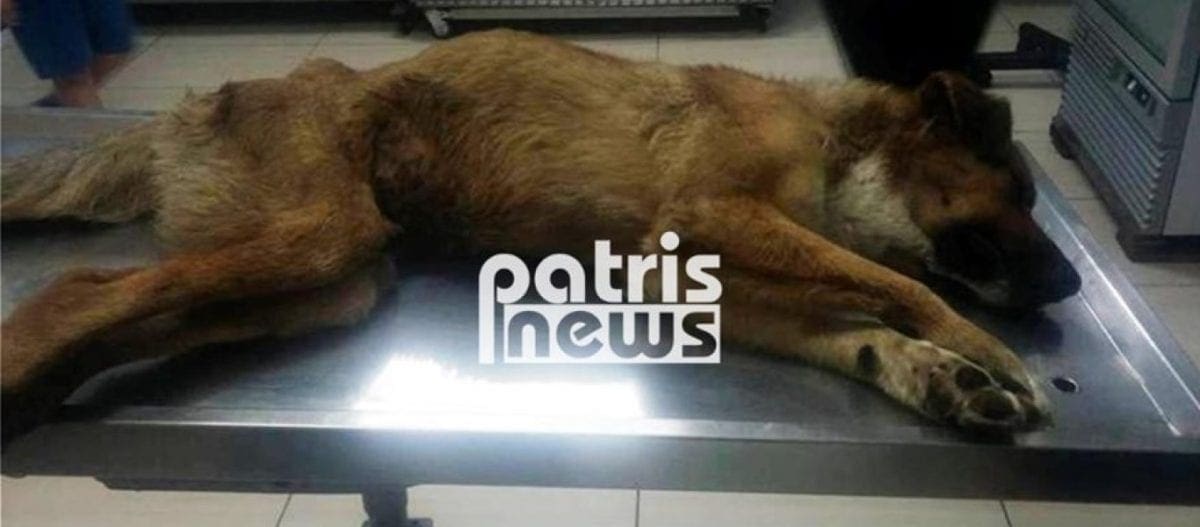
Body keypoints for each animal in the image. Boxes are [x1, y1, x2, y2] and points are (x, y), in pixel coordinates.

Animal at [0, 30, 1081, 443]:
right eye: (1018, 189)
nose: (1073, 285)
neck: (835, 142)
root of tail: (189, 107)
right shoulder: (711, 215)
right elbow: (901, 284)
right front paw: (990, 351)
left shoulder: (678, 284)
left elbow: (854, 326)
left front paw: (937, 373)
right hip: (320, 232)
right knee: (78, 290)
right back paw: (21, 373)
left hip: (333, 280)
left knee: (130, 313)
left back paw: (46, 383)